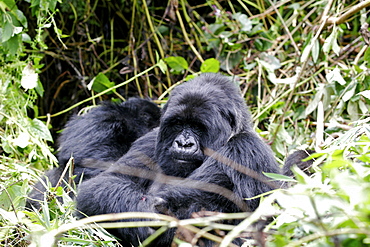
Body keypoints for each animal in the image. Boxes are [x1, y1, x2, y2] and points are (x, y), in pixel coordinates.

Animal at [76, 72, 282, 246]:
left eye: (197, 126)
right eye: (177, 124)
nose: (183, 143)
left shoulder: (245, 150)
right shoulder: (148, 142)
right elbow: (103, 183)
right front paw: (143, 213)